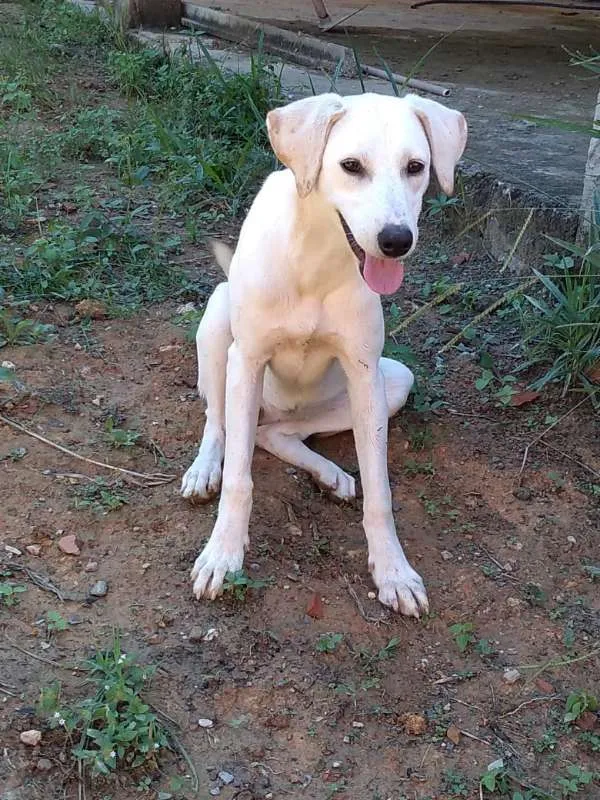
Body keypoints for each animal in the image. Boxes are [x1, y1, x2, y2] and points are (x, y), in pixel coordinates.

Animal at [180, 92, 466, 620]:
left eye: (416, 167)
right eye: (351, 166)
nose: (397, 240)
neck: (317, 255)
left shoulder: (365, 373)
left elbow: (380, 491)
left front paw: (393, 571)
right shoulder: (246, 360)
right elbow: (239, 481)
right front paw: (223, 555)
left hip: (394, 380)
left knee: (277, 433)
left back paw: (329, 474)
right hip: (218, 321)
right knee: (221, 423)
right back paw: (205, 467)